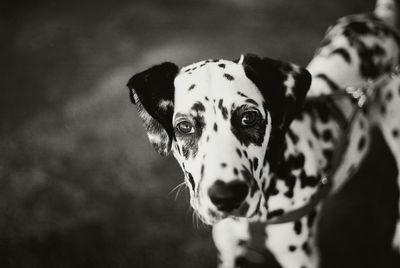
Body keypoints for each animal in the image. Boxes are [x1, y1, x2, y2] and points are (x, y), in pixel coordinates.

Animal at [126, 0, 400, 266]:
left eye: (249, 117)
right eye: (184, 126)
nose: (227, 196)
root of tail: (381, 17)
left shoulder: (299, 257)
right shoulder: (228, 247)